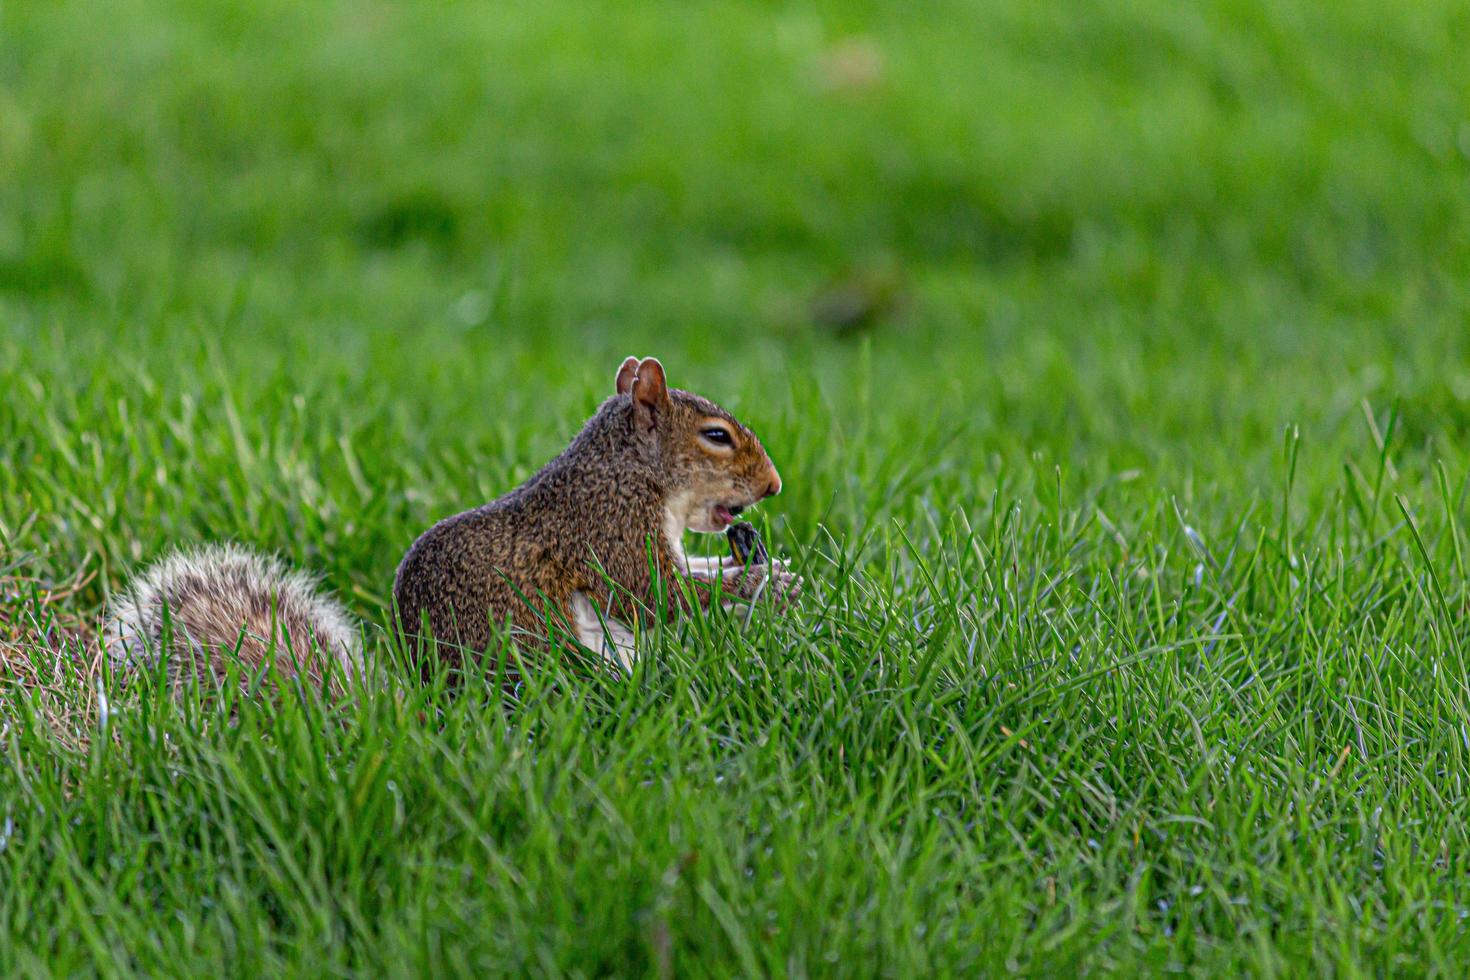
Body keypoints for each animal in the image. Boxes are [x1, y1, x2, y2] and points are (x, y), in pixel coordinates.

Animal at [102, 358, 799, 690]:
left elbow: (691, 571)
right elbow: (653, 596)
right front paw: (758, 585)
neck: (629, 469)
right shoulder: (608, 527)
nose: (773, 486)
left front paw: (762, 565)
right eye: (716, 437)